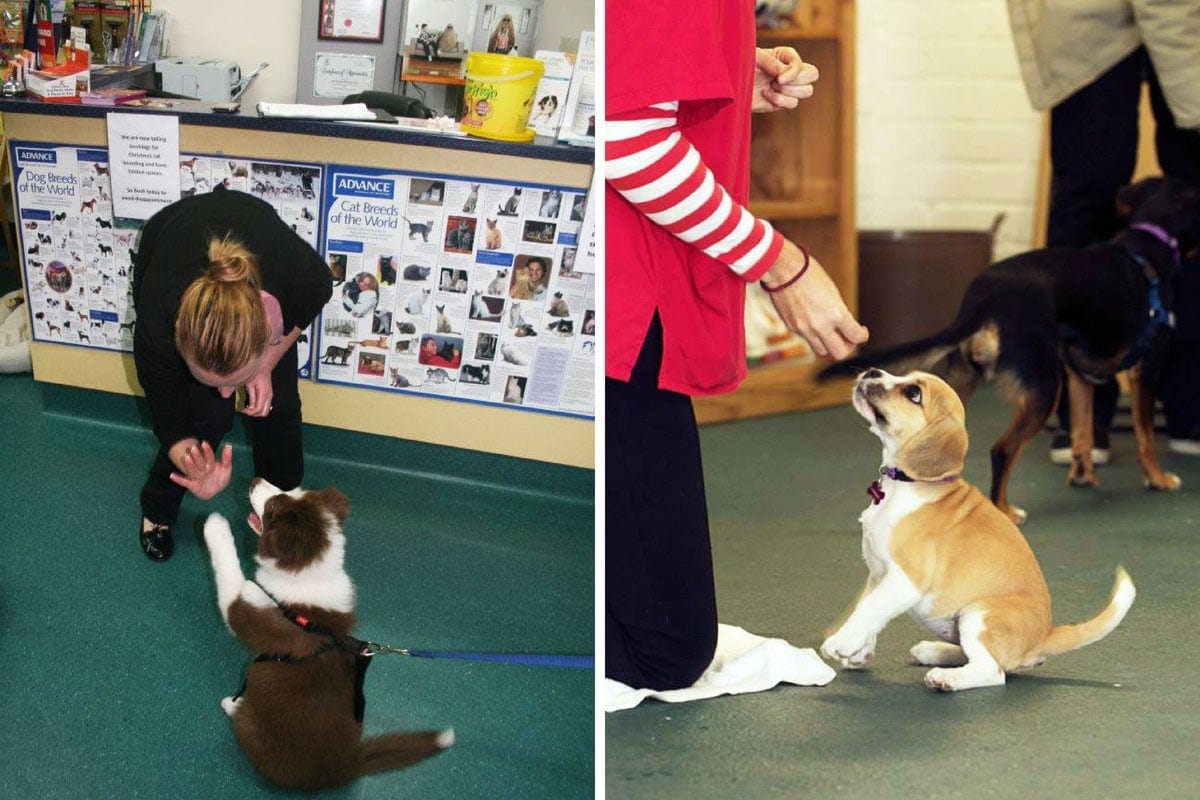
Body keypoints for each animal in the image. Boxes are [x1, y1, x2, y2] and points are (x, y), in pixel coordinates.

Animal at [204, 479, 451, 791]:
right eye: (294, 490)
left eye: (272, 507)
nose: (254, 481)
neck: (310, 573)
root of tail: (346, 767)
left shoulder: (248, 611)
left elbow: (230, 575)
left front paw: (215, 525)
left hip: (253, 729)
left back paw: (232, 705)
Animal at [820, 177, 1200, 522]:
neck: (1149, 241)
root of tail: (985, 295)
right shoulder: (1146, 368)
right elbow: (1145, 433)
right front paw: (1157, 478)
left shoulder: (1080, 375)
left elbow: (1082, 430)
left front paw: (1083, 474)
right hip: (1045, 389)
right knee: (1002, 450)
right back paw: (1003, 509)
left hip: (957, 385)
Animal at [820, 371, 1137, 690]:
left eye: (913, 393)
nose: (872, 371)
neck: (903, 484)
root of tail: (1045, 634)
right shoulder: (877, 573)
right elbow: (866, 605)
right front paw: (859, 650)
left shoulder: (905, 579)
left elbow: (870, 608)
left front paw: (841, 642)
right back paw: (933, 651)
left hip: (978, 615)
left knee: (993, 671)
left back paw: (945, 677)